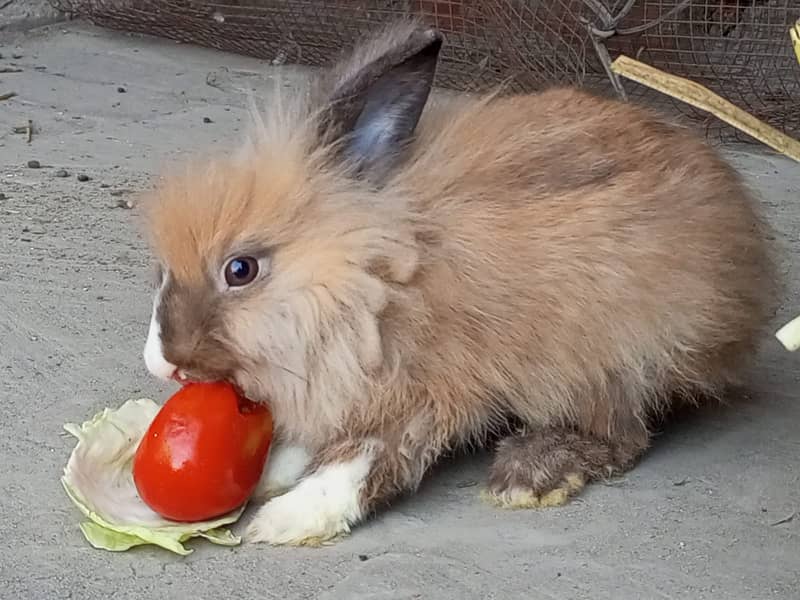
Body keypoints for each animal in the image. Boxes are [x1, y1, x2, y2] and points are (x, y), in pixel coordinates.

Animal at [139, 19, 780, 544]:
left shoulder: (425, 392)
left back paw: (528, 475)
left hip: (603, 361)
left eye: (240, 270)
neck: (366, 277)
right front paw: (270, 473)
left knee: (622, 437)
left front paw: (288, 520)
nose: (162, 362)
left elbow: (364, 458)